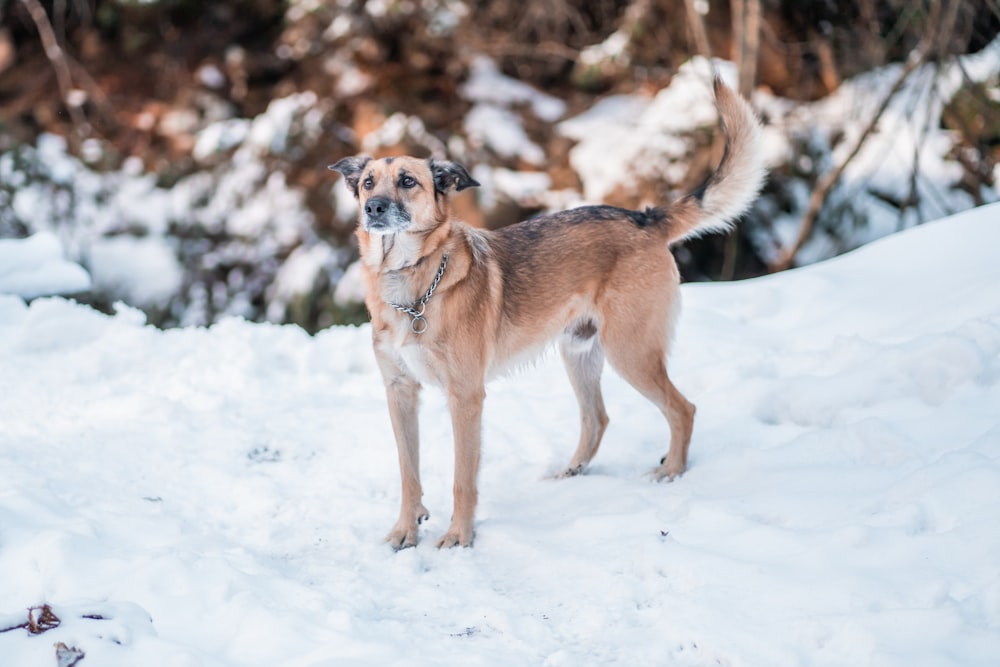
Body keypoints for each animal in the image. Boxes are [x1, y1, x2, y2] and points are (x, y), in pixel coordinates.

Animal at [330, 77, 764, 548]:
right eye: (368, 182)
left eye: (408, 180)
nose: (373, 208)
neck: (411, 285)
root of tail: (642, 218)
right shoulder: (400, 393)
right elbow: (408, 472)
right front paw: (406, 531)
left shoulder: (465, 396)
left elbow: (463, 478)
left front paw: (460, 537)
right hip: (579, 353)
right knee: (597, 418)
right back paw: (572, 471)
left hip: (630, 351)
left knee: (682, 409)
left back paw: (672, 472)